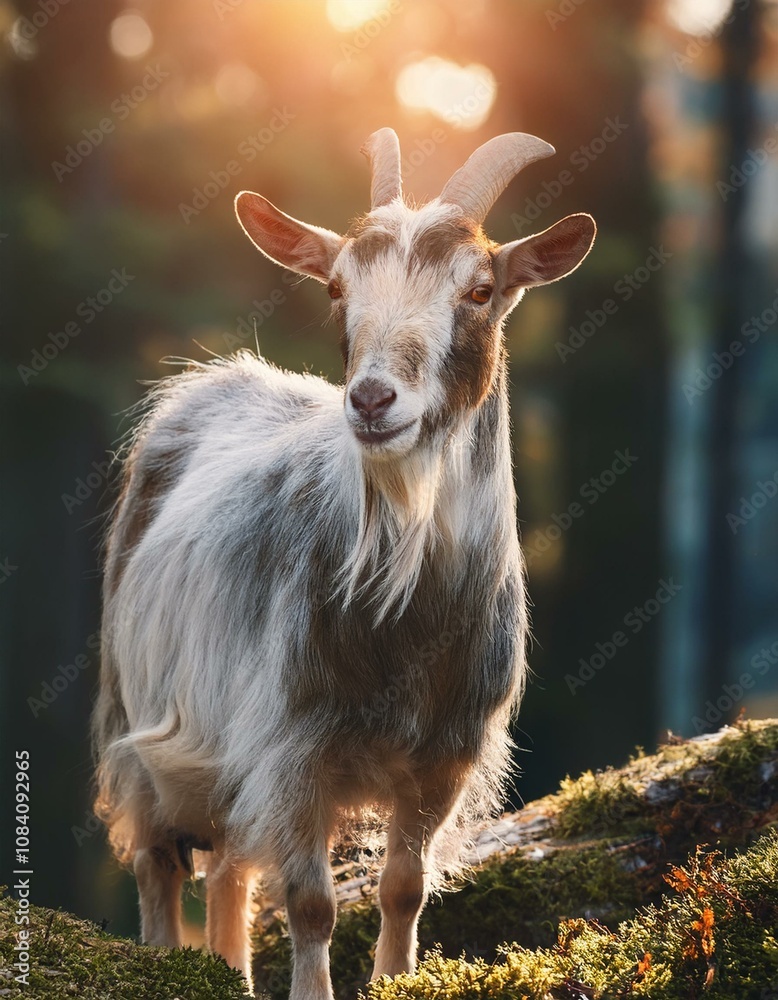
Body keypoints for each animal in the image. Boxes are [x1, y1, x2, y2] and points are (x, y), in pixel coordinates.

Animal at [93, 127, 595, 999]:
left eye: (481, 289)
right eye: (336, 287)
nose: (371, 400)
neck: (406, 624)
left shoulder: (445, 754)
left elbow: (404, 887)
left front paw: (396, 977)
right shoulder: (293, 745)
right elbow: (312, 903)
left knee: (229, 874)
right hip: (141, 723)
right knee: (160, 864)